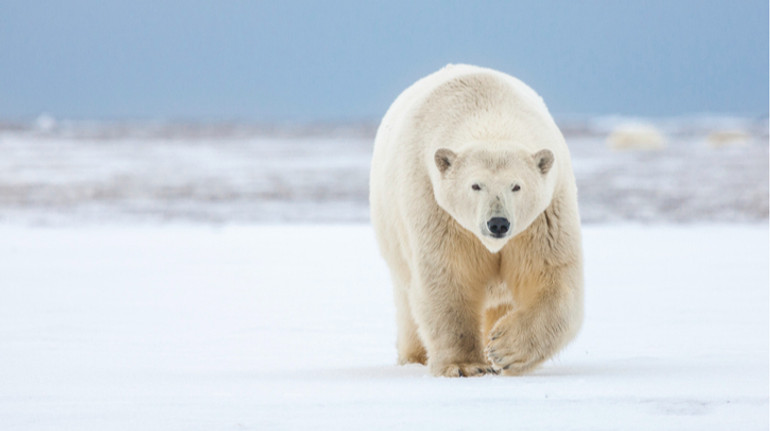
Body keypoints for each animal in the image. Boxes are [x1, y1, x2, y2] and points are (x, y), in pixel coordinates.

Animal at [368, 64, 584, 378]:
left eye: (516, 186)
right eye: (475, 185)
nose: (498, 223)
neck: (488, 110)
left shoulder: (545, 216)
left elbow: (551, 275)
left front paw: (503, 349)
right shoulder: (435, 207)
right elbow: (448, 276)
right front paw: (465, 365)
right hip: (393, 236)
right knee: (407, 302)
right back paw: (414, 357)